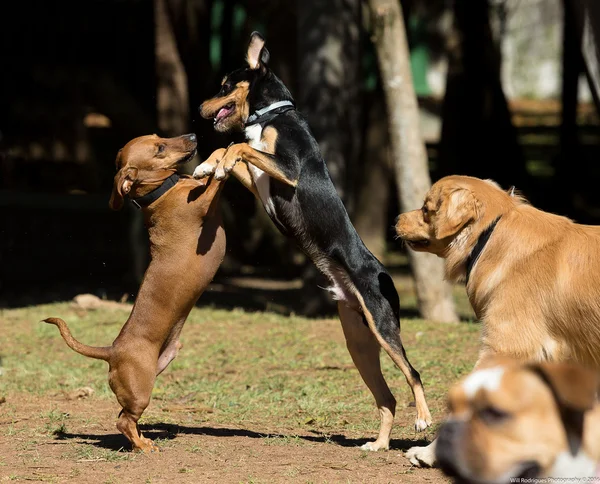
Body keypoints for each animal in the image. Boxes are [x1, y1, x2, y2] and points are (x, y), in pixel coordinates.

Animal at [44, 133, 226, 454]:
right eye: (160, 148)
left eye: (159, 137)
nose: (192, 136)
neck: (163, 191)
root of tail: (112, 351)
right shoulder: (204, 203)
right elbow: (217, 179)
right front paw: (224, 161)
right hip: (141, 389)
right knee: (123, 421)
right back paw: (143, 446)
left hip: (149, 378)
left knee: (123, 417)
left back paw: (141, 440)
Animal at [193, 31, 432, 450]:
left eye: (223, 86)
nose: (200, 106)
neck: (273, 115)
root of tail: (382, 273)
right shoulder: (260, 181)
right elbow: (230, 149)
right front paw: (209, 165)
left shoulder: (287, 171)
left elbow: (239, 146)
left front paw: (218, 162)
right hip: (359, 341)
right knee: (386, 397)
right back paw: (379, 445)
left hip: (384, 328)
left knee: (413, 373)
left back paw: (422, 420)